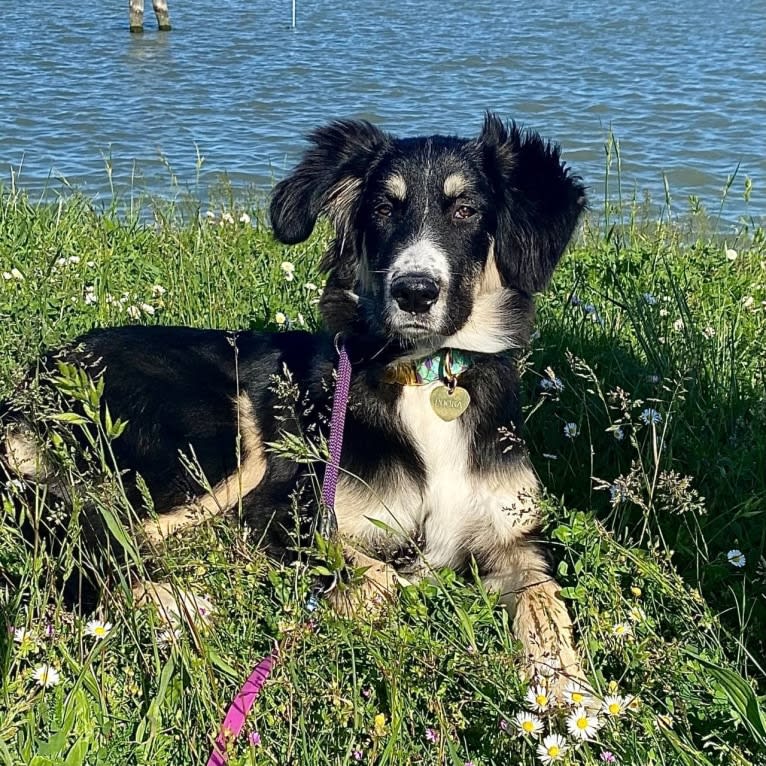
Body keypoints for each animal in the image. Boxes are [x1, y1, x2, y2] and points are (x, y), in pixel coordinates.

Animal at [3, 115, 588, 688]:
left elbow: (547, 604)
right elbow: (383, 579)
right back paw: (176, 602)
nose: (414, 292)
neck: (425, 373)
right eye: (382, 210)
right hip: (216, 441)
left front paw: (566, 688)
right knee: (96, 538)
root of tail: (37, 374)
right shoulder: (292, 515)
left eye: (466, 210)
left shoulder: (516, 538)